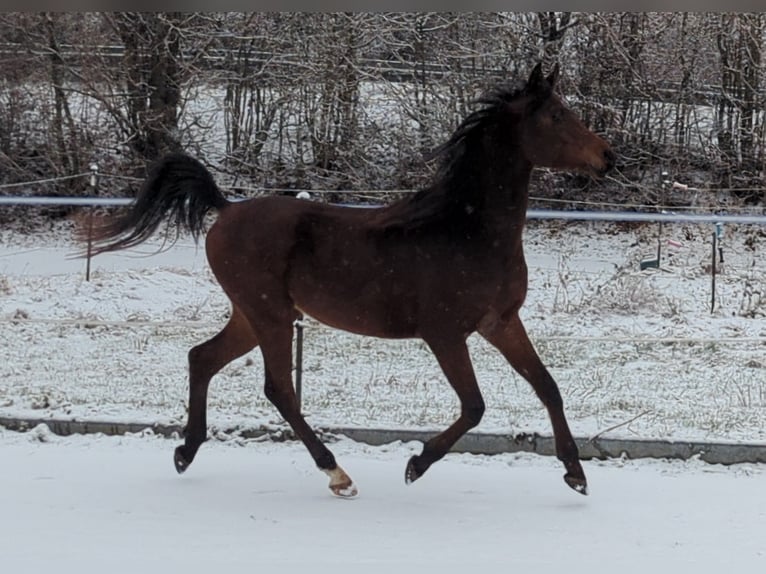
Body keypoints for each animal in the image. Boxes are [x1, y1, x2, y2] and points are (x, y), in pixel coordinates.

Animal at [82, 63, 616, 500]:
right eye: (556, 116)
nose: (607, 157)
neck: (468, 229)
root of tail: (226, 209)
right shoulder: (445, 334)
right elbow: (474, 406)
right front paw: (416, 464)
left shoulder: (501, 323)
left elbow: (547, 386)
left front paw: (576, 474)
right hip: (270, 314)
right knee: (279, 388)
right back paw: (336, 474)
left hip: (253, 315)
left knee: (203, 358)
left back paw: (185, 453)